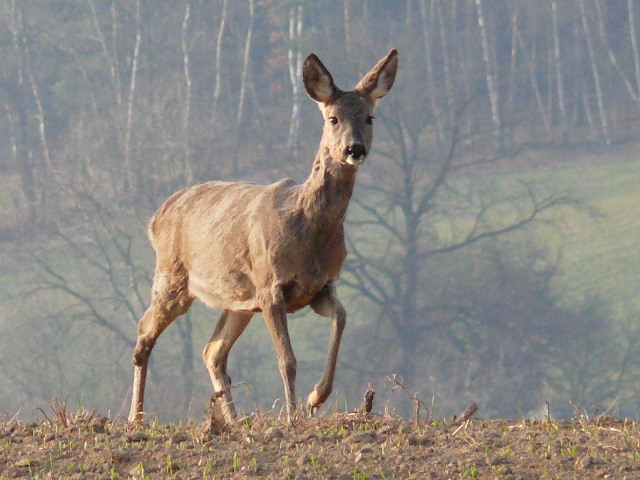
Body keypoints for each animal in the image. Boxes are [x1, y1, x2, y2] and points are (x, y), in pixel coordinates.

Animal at [127, 48, 398, 424]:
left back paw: (232, 420)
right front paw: (293, 416)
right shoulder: (271, 285)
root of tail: (157, 217)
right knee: (143, 333)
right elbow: (287, 360)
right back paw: (135, 419)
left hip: (238, 300)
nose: (354, 149)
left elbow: (342, 318)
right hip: (172, 277)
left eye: (370, 118)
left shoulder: (321, 287)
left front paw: (316, 396)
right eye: (333, 118)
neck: (310, 232)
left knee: (212, 351)